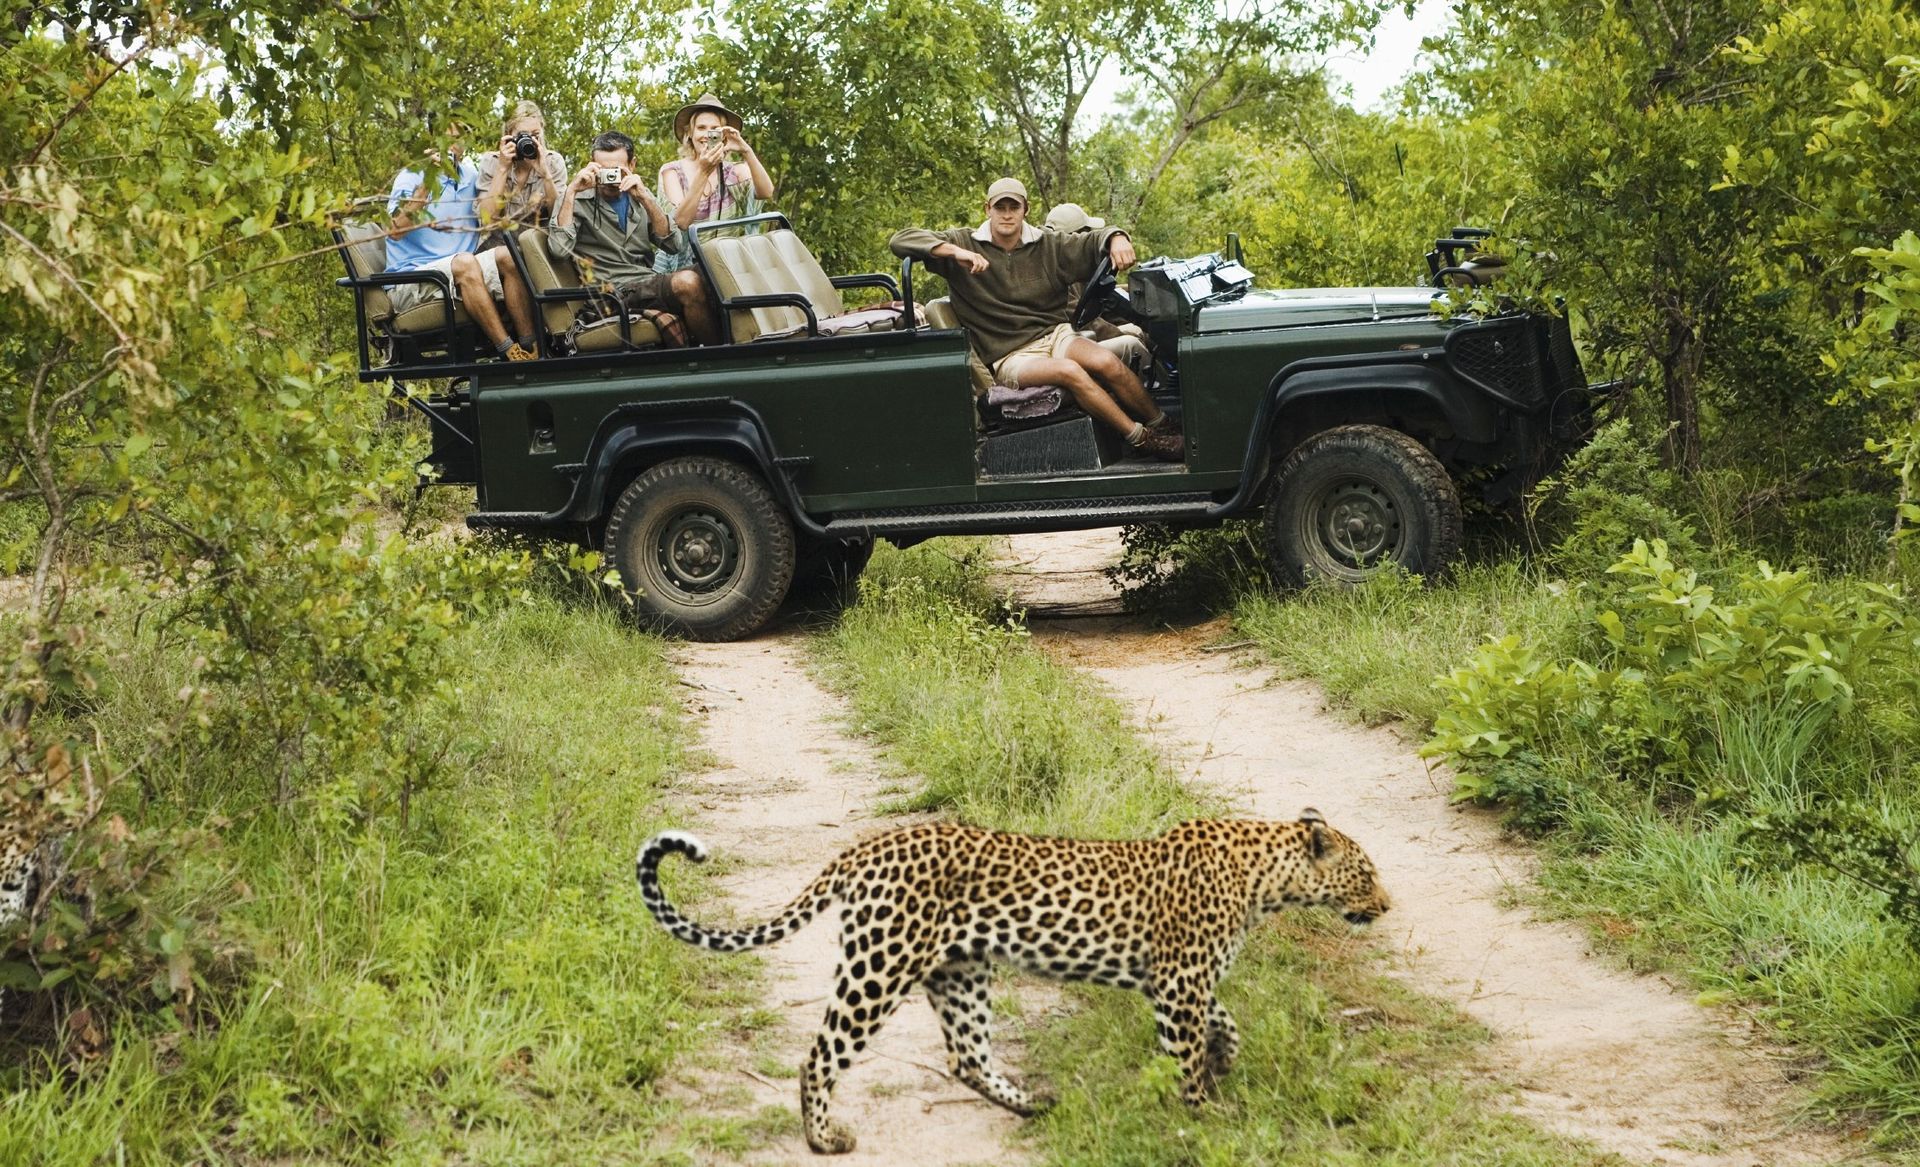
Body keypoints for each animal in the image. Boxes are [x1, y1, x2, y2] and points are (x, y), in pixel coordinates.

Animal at [637, 809, 1389, 1154]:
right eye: (1368, 873)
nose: (1386, 905)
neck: (1266, 879)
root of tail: (863, 848)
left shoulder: (1176, 981)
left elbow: (1224, 1018)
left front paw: (1225, 1057)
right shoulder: (1179, 982)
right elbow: (1189, 1054)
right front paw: (1207, 1114)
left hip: (960, 970)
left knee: (966, 1055)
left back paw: (1033, 1104)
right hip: (880, 965)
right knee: (820, 1054)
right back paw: (825, 1139)